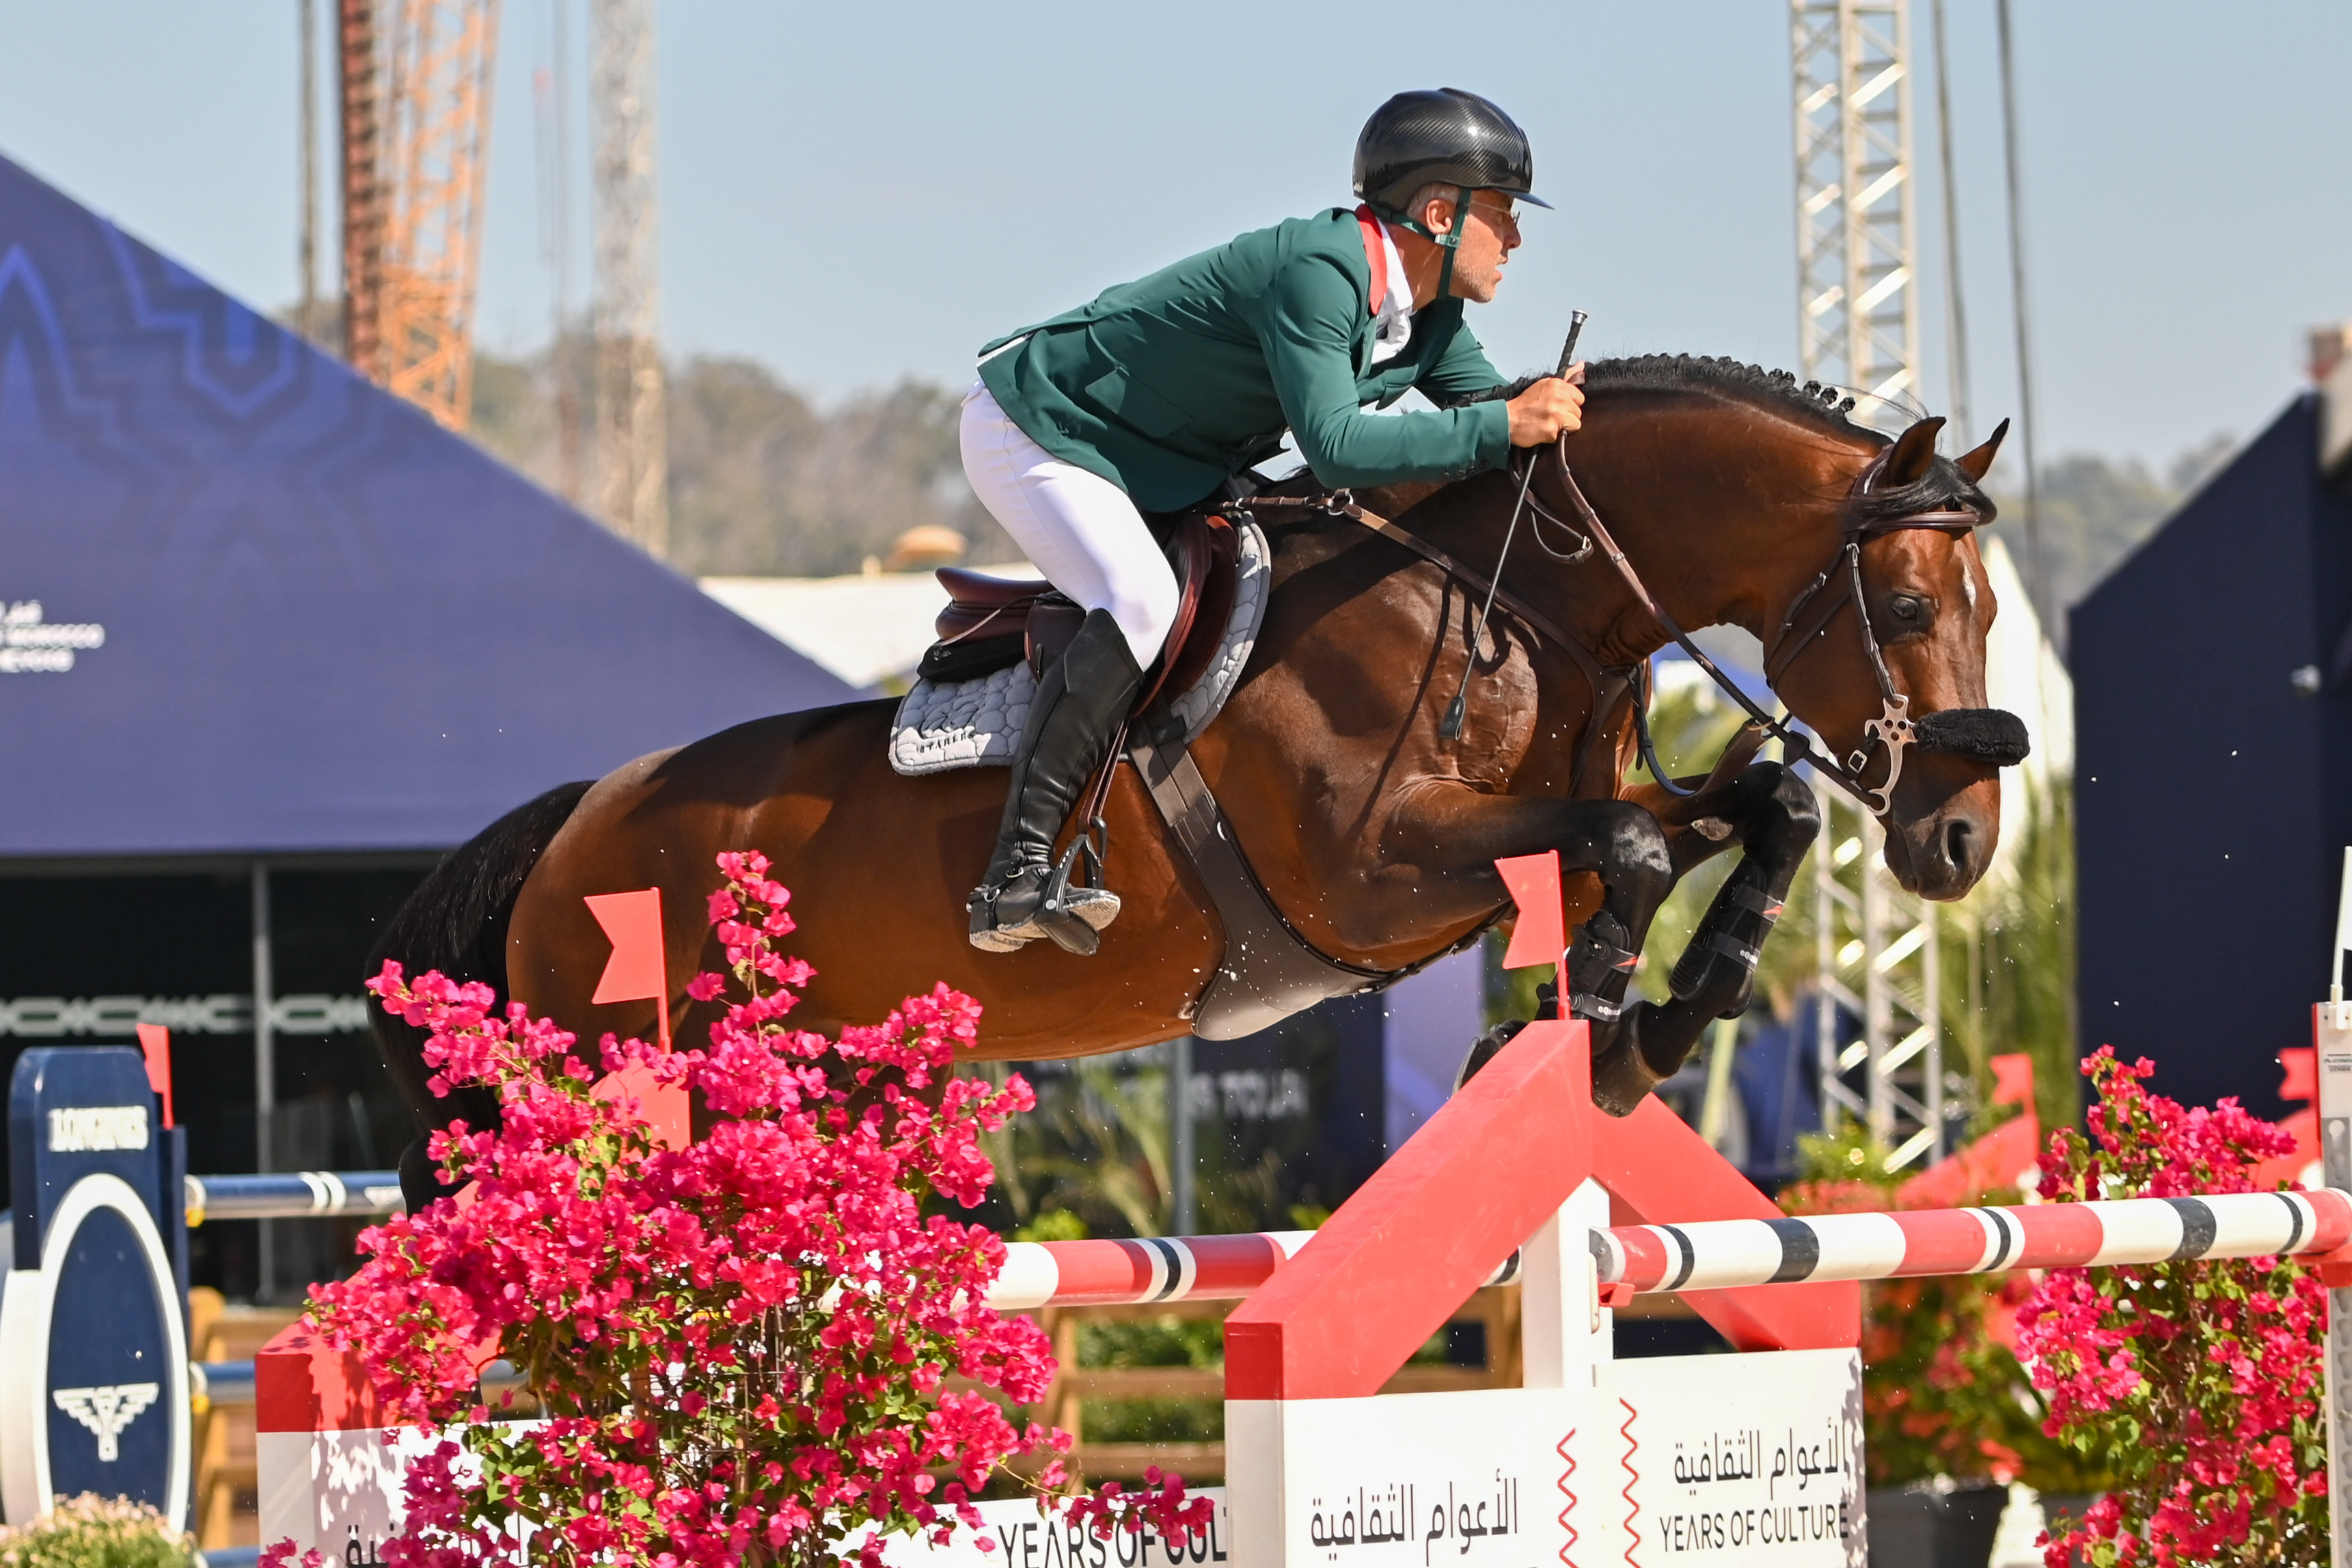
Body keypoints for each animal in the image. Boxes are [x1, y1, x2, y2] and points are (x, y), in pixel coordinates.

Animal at [369, 355, 2018, 1182]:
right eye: (1909, 608)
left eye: (1993, 612)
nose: (1960, 843)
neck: (1505, 600)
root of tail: (573, 825)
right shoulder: (1370, 873)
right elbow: (1628, 848)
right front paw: (1597, 1031)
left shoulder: (1535, 825)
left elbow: (1755, 809)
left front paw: (1655, 1019)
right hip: (630, 1078)